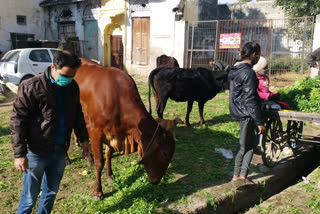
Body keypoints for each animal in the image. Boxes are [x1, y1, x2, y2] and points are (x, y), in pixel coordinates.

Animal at [74, 62, 176, 200]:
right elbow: (99, 162)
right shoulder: (95, 131)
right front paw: (97, 192)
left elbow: (108, 154)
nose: (156, 181)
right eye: (165, 154)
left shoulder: (112, 133)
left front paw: (109, 175)